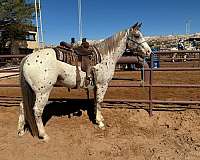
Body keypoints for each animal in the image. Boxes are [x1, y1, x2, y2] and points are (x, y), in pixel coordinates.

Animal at [17, 22, 152, 141]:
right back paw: (43, 135)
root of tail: (27, 57)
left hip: (33, 91)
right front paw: (100, 123)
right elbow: (99, 101)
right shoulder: (103, 85)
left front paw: (98, 118)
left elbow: (96, 102)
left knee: (23, 105)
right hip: (42, 92)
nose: (149, 51)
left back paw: (21, 131)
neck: (105, 56)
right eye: (137, 35)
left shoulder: (96, 85)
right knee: (37, 110)